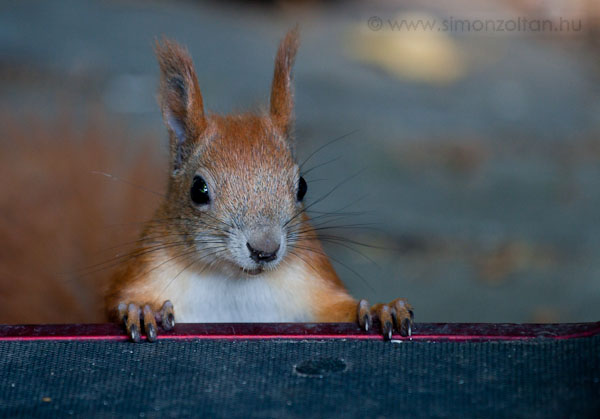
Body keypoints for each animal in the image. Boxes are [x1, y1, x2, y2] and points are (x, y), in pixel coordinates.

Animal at [104, 29, 412, 344]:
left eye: (302, 187)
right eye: (198, 189)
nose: (265, 250)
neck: (233, 278)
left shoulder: (312, 282)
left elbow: (336, 310)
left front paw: (380, 310)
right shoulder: (149, 267)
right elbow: (116, 303)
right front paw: (142, 310)